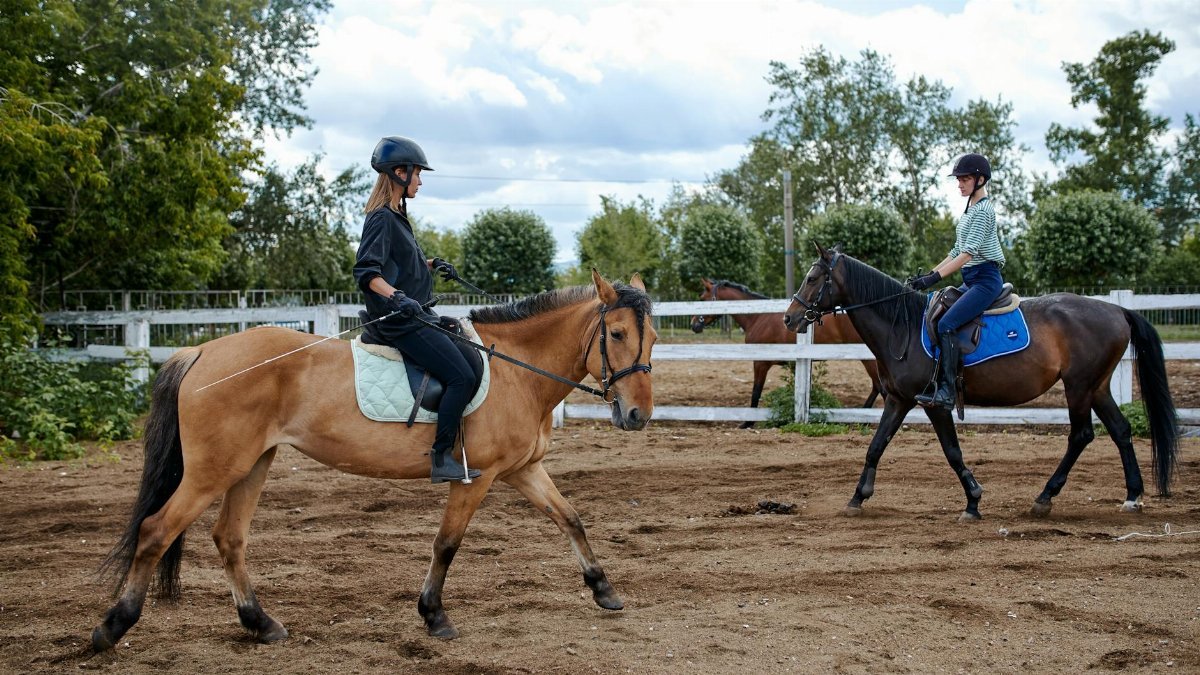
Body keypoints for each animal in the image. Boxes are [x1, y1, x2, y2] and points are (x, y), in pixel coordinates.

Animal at [92, 272, 656, 652]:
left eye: (652, 337)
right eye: (617, 334)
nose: (637, 415)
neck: (516, 370)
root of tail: (202, 352)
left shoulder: (522, 469)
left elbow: (571, 519)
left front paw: (604, 590)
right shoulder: (475, 477)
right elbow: (447, 544)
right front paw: (433, 616)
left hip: (252, 464)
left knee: (229, 538)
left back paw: (261, 623)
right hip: (215, 470)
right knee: (155, 531)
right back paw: (112, 627)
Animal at [690, 278, 883, 427]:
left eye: (702, 299)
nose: (694, 325)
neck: (758, 317)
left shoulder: (760, 363)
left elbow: (756, 391)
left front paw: (748, 423)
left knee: (879, 387)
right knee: (876, 387)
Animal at [782, 245, 1178, 522]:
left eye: (813, 278)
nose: (789, 317)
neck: (902, 327)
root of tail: (1117, 310)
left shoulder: (932, 403)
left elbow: (952, 451)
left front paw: (972, 501)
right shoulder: (898, 399)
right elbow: (875, 446)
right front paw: (857, 498)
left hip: (1079, 387)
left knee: (1081, 435)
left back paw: (1045, 498)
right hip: (1096, 386)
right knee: (1121, 430)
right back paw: (1132, 496)